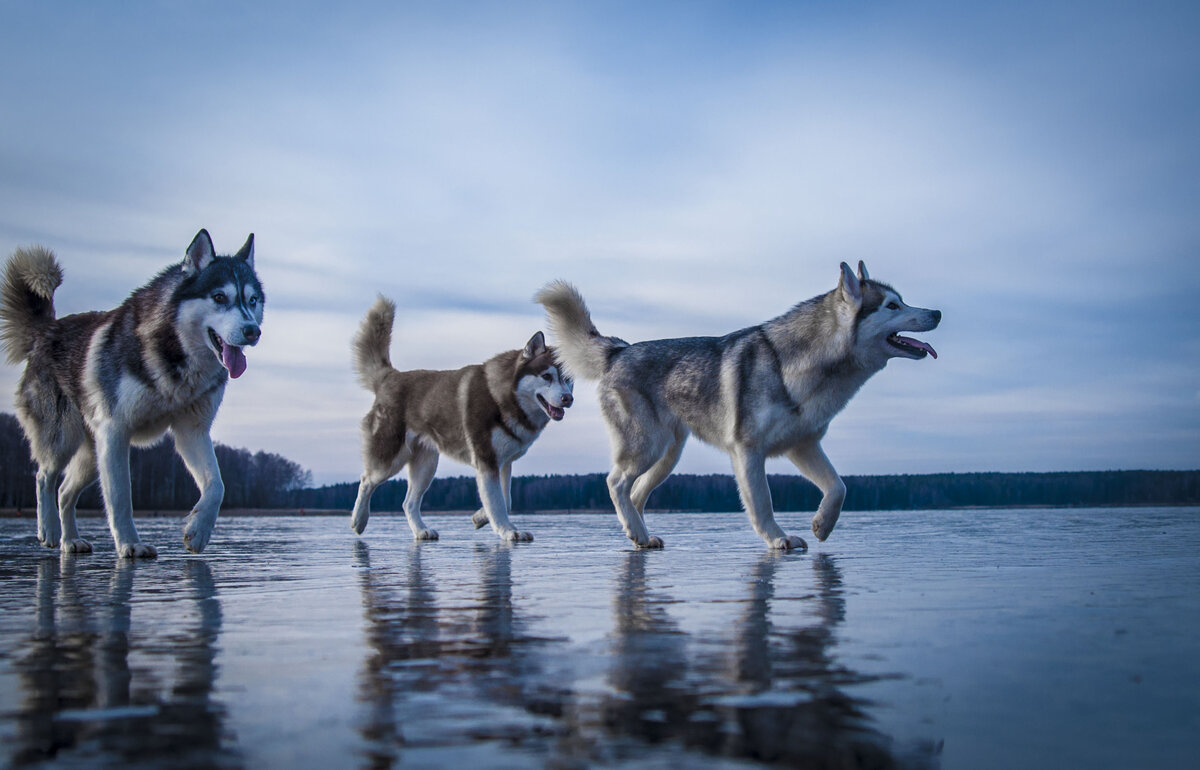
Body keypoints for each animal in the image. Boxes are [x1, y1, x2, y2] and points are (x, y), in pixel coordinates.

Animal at [0, 229, 264, 556]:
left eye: (252, 300)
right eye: (219, 297)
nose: (253, 331)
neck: (175, 353)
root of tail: (44, 331)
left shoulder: (192, 431)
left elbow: (217, 485)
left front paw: (198, 530)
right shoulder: (115, 431)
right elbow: (120, 497)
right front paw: (129, 544)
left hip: (91, 455)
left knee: (64, 492)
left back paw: (70, 540)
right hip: (63, 437)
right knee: (44, 477)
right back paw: (48, 529)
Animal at [350, 293, 571, 539]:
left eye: (567, 379)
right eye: (547, 376)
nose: (568, 399)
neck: (504, 397)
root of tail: (390, 376)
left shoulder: (503, 462)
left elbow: (506, 500)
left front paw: (481, 517)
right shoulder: (486, 460)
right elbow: (498, 502)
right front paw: (507, 531)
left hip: (426, 465)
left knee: (408, 503)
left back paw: (421, 530)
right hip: (389, 459)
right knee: (366, 481)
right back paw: (359, 520)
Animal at [540, 261, 940, 549]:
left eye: (902, 300)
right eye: (892, 305)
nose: (936, 312)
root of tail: (620, 350)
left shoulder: (803, 445)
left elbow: (839, 488)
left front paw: (821, 526)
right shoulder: (748, 451)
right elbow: (762, 503)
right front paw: (779, 539)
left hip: (667, 456)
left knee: (634, 494)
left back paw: (640, 535)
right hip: (645, 448)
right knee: (615, 482)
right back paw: (636, 532)